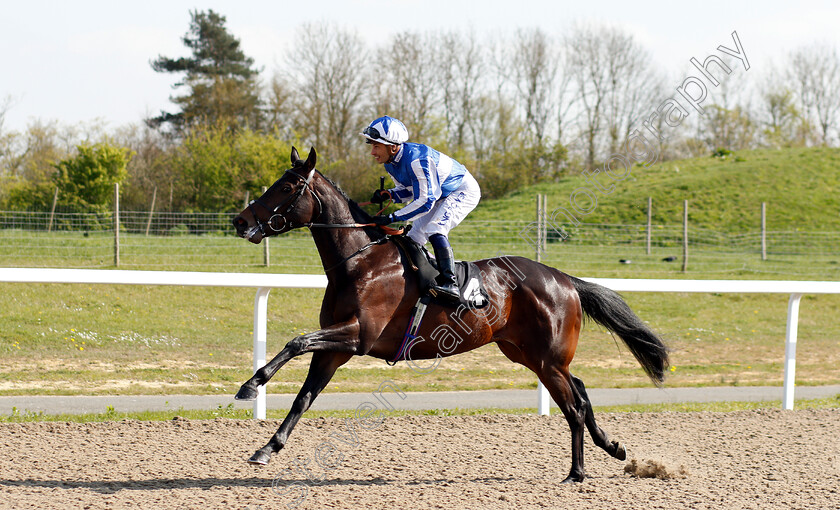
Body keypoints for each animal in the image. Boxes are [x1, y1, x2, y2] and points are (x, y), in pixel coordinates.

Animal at [230, 146, 668, 482]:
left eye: (287, 186)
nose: (240, 220)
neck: (360, 261)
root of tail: (563, 278)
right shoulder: (336, 348)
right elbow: (304, 396)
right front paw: (266, 447)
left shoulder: (358, 335)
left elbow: (296, 341)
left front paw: (251, 385)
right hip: (530, 354)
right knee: (580, 390)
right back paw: (612, 447)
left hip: (546, 358)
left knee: (574, 406)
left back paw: (576, 473)